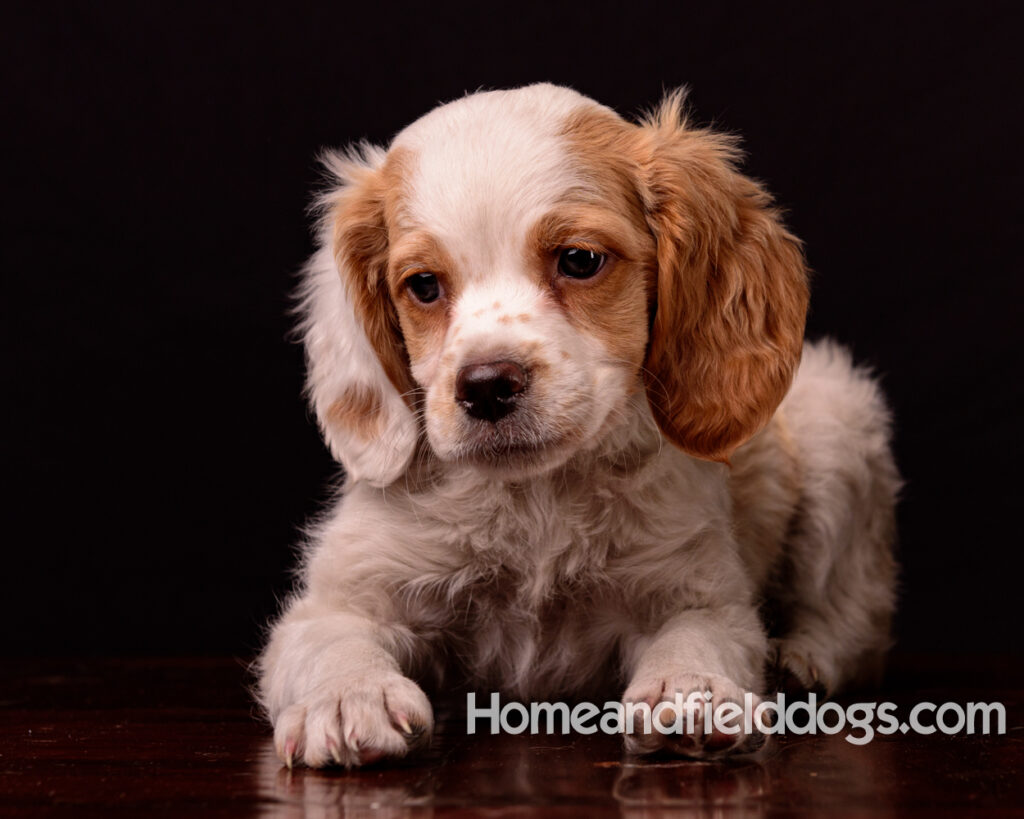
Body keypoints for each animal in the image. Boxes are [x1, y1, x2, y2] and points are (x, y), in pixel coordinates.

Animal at [260, 82, 901, 769]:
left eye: (579, 260)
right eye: (424, 285)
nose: (485, 386)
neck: (537, 499)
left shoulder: (699, 590)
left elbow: (698, 636)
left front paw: (691, 690)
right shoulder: (343, 595)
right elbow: (333, 641)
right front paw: (349, 698)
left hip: (838, 425)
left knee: (856, 618)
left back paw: (802, 659)